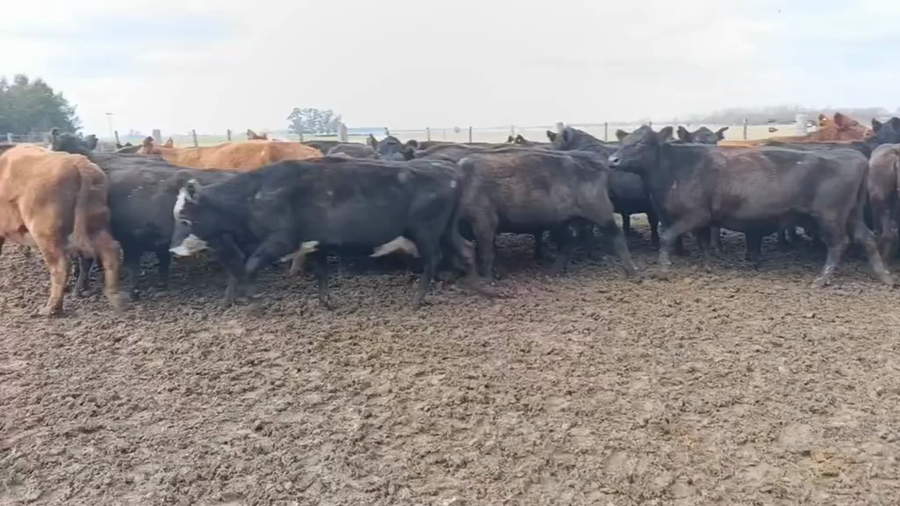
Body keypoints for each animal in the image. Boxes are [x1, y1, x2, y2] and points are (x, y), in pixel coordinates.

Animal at [0, 144, 124, 315]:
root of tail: (78, 162)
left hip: (45, 234)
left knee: (60, 266)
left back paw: (51, 308)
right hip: (95, 226)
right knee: (110, 251)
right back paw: (115, 298)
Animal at [169, 157, 479, 308]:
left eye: (184, 219)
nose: (173, 249)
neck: (255, 194)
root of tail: (449, 168)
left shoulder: (280, 240)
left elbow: (250, 265)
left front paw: (254, 301)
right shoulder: (316, 242)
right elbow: (321, 273)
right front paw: (325, 301)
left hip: (426, 232)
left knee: (432, 260)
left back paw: (417, 300)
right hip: (446, 231)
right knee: (466, 250)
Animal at [457, 148, 637, 280]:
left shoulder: (484, 224)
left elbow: (486, 253)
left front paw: (487, 278)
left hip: (601, 214)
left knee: (617, 236)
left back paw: (631, 271)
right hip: (569, 220)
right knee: (570, 243)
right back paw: (553, 271)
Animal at [608, 125, 893, 287]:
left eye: (641, 142)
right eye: (622, 142)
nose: (612, 159)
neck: (676, 167)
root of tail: (852, 155)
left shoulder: (692, 215)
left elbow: (667, 237)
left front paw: (664, 269)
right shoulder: (703, 219)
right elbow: (703, 244)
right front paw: (707, 266)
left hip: (829, 217)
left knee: (839, 244)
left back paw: (822, 279)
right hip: (852, 214)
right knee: (867, 238)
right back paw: (884, 276)